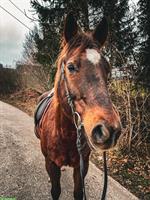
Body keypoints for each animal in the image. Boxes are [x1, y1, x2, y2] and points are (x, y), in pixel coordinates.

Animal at [35, 12, 122, 200]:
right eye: (71, 66)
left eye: (108, 69)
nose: (109, 130)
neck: (65, 133)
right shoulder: (51, 163)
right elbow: (55, 190)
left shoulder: (82, 166)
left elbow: (78, 193)